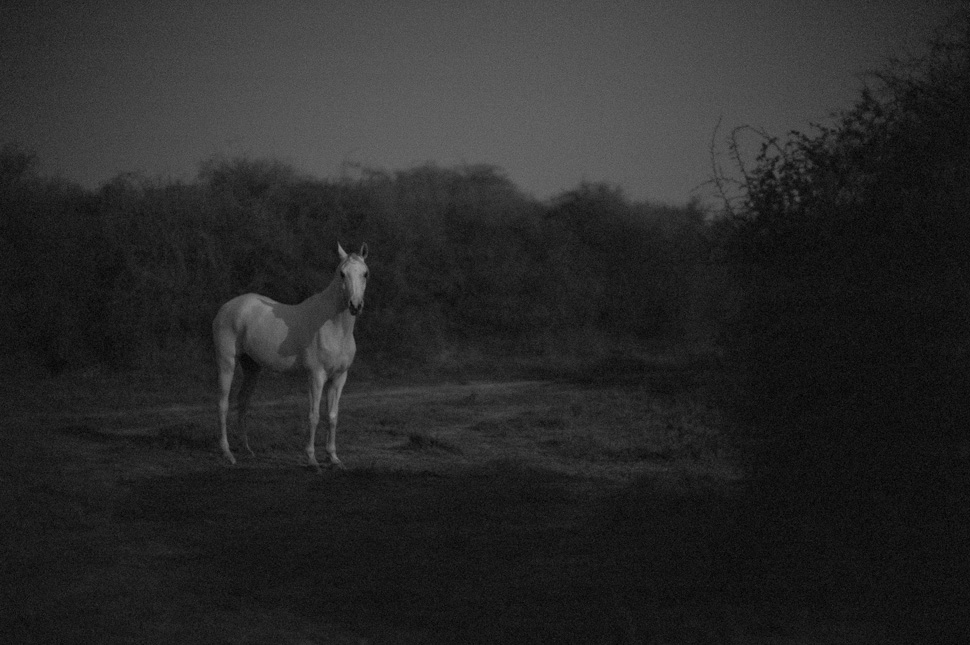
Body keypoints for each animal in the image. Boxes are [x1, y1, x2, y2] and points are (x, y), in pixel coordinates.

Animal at [214, 242, 368, 468]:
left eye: (365, 273)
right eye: (342, 273)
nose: (355, 305)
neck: (334, 327)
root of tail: (226, 308)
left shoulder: (339, 377)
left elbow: (332, 416)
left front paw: (333, 458)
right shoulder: (316, 376)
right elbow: (314, 415)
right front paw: (312, 459)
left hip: (251, 367)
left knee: (242, 402)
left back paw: (247, 449)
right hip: (226, 363)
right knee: (223, 404)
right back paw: (227, 453)